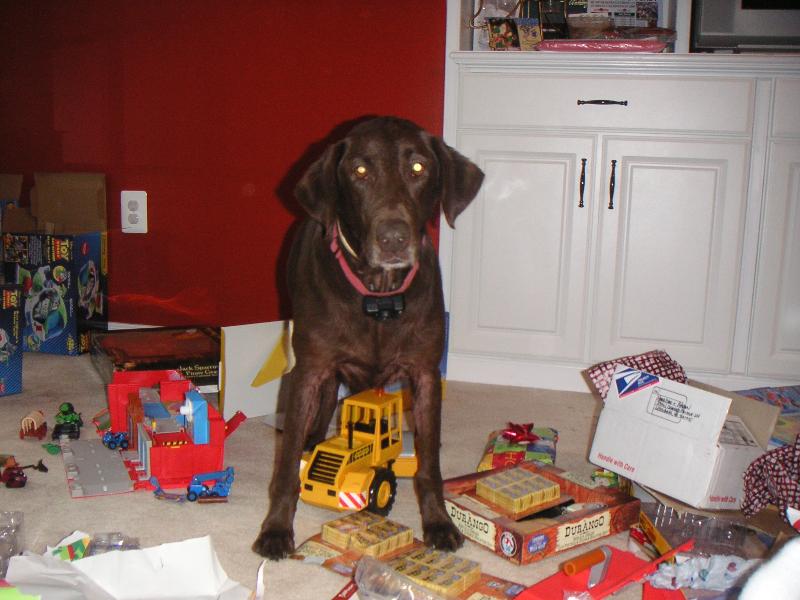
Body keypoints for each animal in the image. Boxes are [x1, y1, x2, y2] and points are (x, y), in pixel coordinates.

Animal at [252, 116, 484, 560]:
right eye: (359, 171)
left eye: (418, 168)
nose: (393, 238)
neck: (379, 296)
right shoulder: (311, 370)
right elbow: (287, 465)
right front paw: (276, 528)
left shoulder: (425, 373)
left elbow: (429, 466)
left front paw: (438, 523)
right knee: (318, 413)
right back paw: (310, 442)